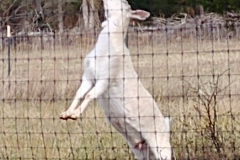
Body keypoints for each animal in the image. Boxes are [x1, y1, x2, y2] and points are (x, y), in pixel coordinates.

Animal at [61, 0, 172, 159]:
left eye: (124, 2)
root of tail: (166, 125)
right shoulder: (88, 76)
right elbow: (79, 93)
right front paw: (67, 114)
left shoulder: (106, 78)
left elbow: (90, 95)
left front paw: (76, 114)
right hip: (141, 150)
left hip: (160, 144)